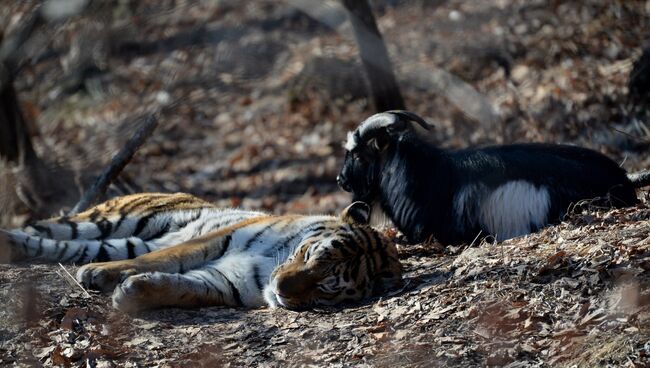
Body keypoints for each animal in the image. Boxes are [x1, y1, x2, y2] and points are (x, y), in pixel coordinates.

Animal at [1, 194, 400, 312]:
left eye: (324, 288)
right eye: (309, 256)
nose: (280, 289)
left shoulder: (229, 281)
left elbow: (184, 287)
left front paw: (133, 293)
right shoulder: (217, 239)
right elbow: (158, 260)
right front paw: (115, 279)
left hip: (110, 238)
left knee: (60, 247)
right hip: (114, 221)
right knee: (48, 230)